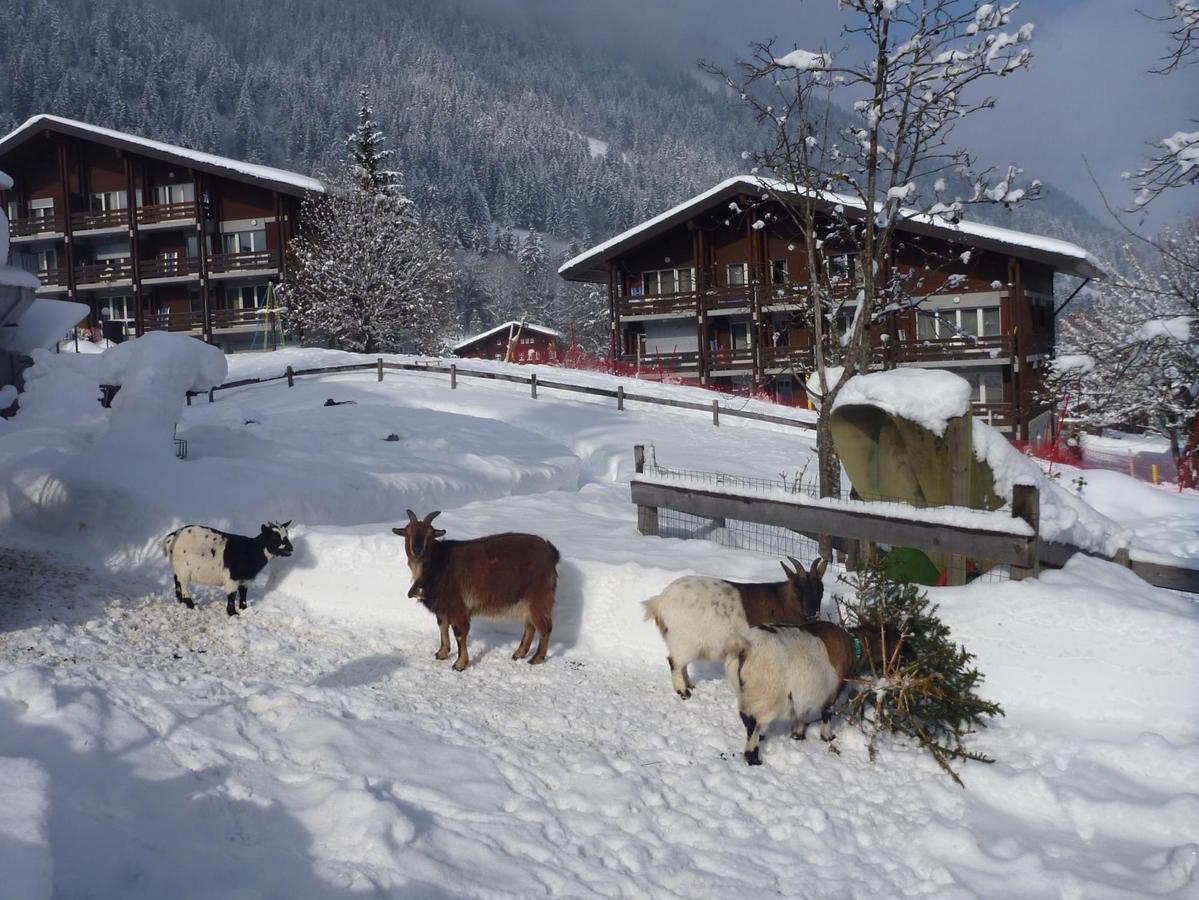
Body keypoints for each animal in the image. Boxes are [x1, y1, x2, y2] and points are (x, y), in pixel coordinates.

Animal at [160, 524, 293, 618]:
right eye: (275, 537)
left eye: (287, 534)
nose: (290, 548)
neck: (251, 550)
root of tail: (172, 536)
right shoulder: (232, 578)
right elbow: (232, 595)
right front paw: (232, 613)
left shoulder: (245, 579)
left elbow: (243, 593)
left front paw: (244, 609)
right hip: (184, 569)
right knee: (183, 585)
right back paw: (190, 604)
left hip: (178, 568)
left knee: (177, 580)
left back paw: (180, 601)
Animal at [393, 510, 561, 671]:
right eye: (407, 532)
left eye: (430, 534)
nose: (417, 550)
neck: (439, 563)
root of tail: (551, 552)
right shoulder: (442, 609)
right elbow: (442, 628)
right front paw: (442, 653)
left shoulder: (457, 608)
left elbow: (459, 634)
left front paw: (460, 664)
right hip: (527, 602)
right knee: (530, 626)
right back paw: (519, 653)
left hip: (539, 597)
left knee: (545, 627)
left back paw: (537, 658)